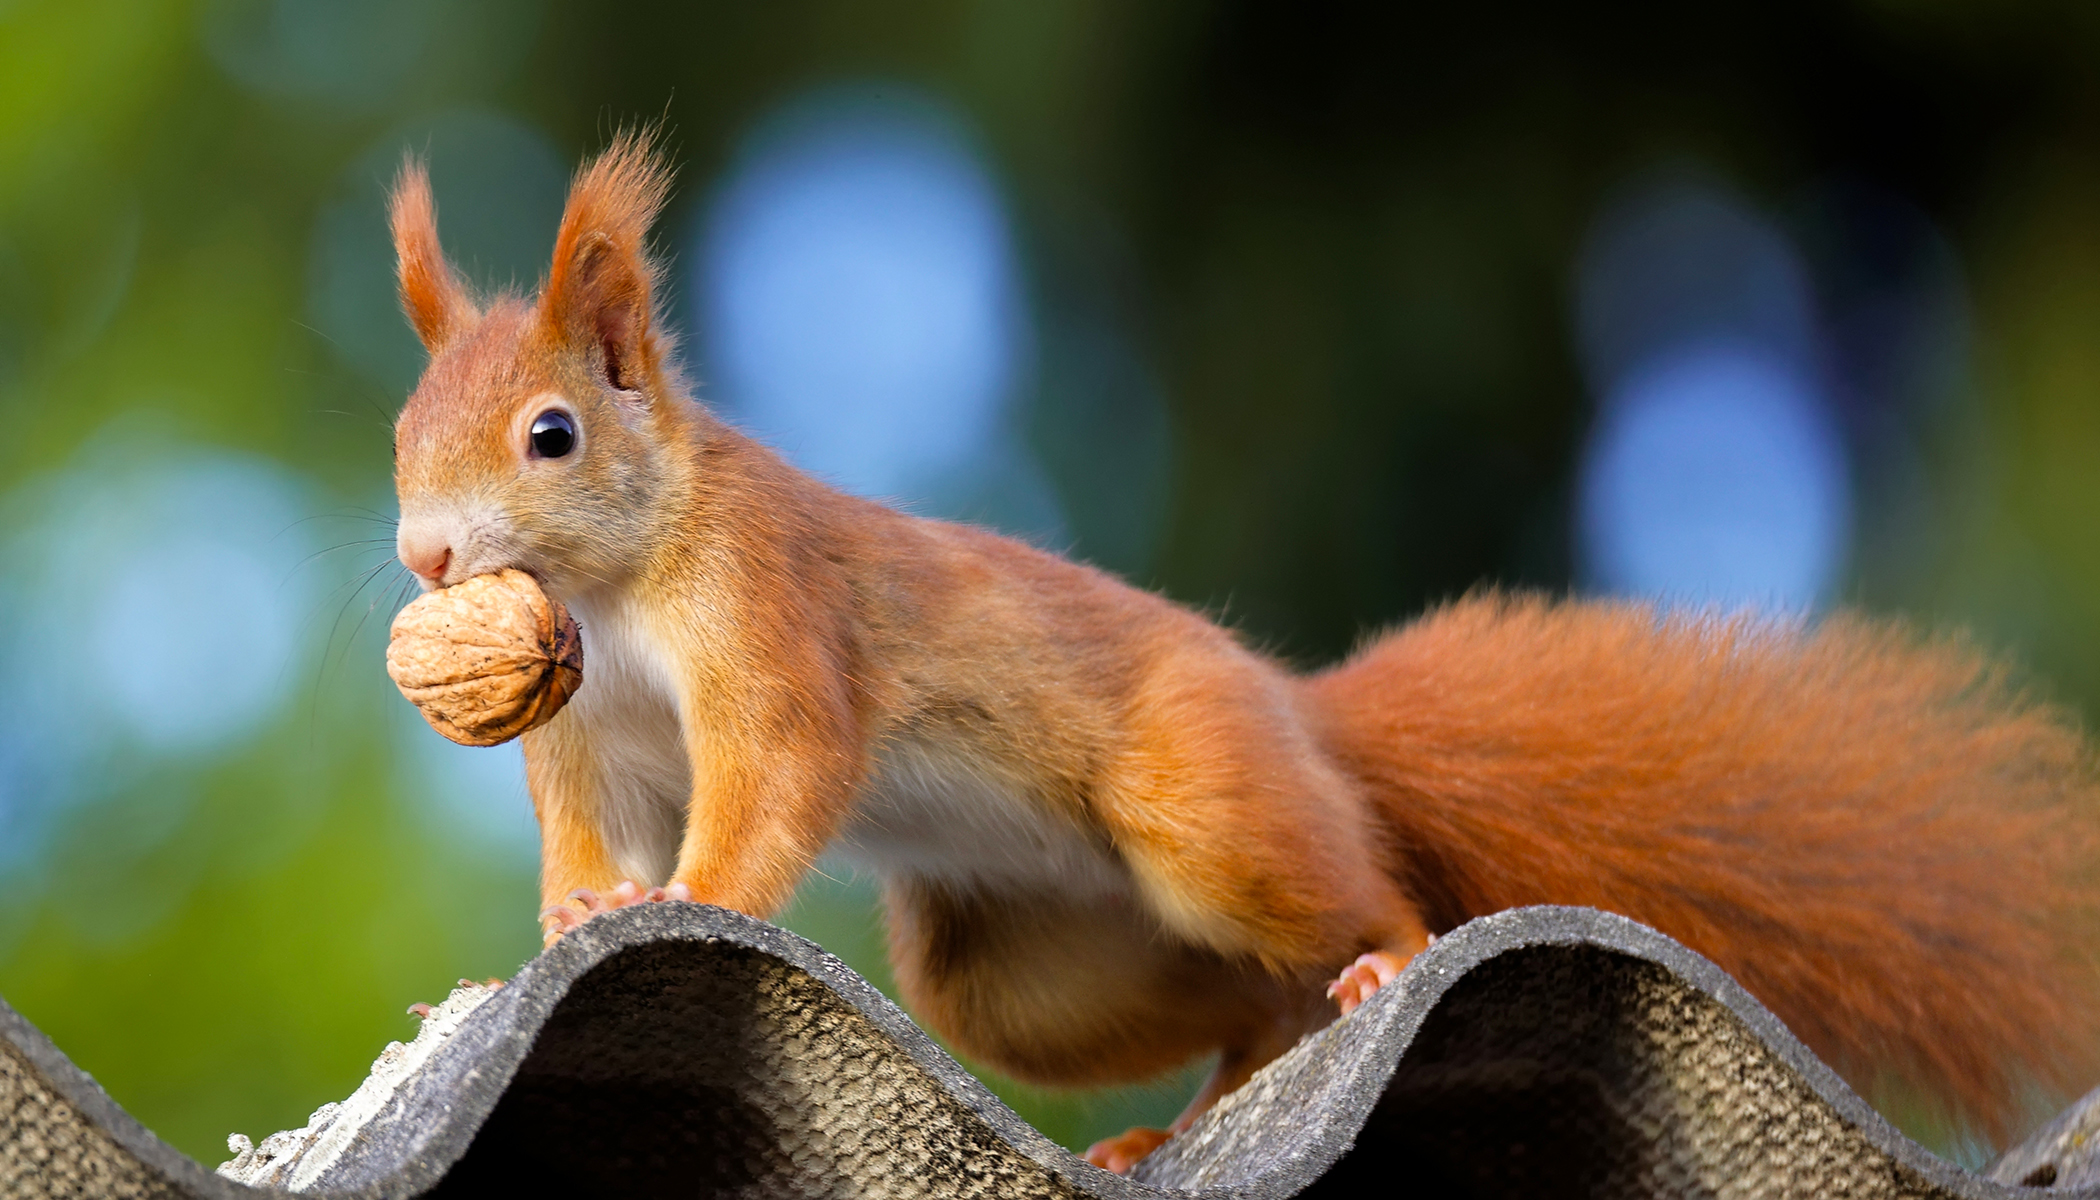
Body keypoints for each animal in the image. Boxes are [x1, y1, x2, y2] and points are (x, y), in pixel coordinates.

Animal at [386, 133, 2091, 1176]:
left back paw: (1390, 961)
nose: (426, 560)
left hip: (1204, 799)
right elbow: (587, 831)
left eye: (552, 434)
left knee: (1351, 911)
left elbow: (776, 775)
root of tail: (1304, 716)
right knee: (1249, 1010)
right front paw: (571, 918)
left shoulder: (771, 617)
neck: (619, 588)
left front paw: (688, 898)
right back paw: (1171, 1131)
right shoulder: (590, 728)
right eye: (407, 431)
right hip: (1018, 970)